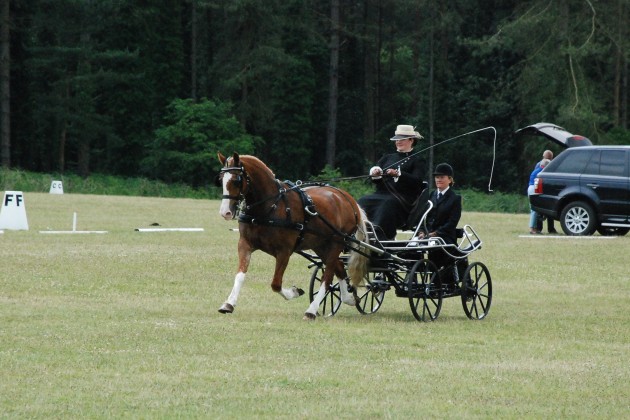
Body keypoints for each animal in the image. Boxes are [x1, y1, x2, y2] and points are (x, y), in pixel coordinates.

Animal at [216, 153, 368, 320]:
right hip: (321, 245)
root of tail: (348, 199)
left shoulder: (284, 251)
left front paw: (295, 292)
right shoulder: (245, 244)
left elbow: (276, 284)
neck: (270, 207)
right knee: (339, 268)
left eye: (236, 180)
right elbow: (240, 275)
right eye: (221, 179)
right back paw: (349, 298)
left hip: (337, 243)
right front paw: (228, 304)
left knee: (327, 277)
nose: (225, 213)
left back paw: (311, 310)